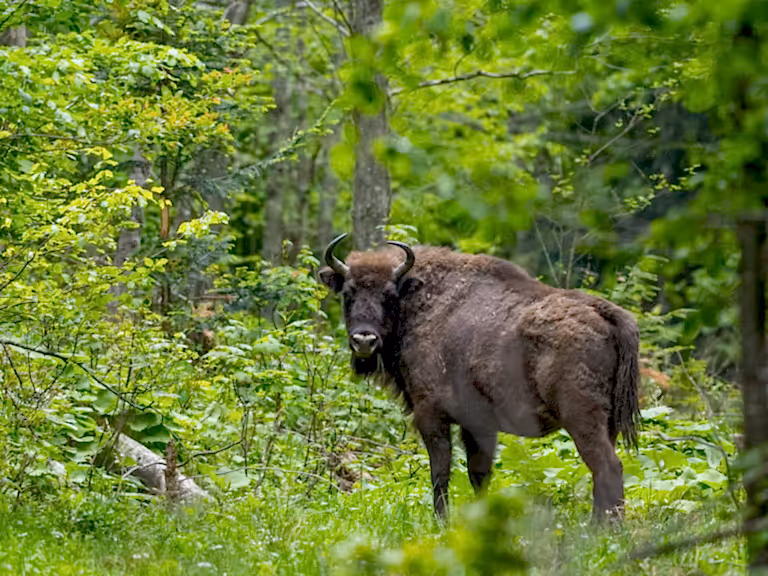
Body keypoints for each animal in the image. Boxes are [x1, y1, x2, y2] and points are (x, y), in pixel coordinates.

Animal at [319, 234, 640, 520]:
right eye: (348, 294)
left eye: (389, 295)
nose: (364, 340)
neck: (420, 301)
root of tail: (603, 311)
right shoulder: (477, 425)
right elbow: (479, 474)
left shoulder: (431, 414)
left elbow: (441, 471)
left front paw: (442, 521)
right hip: (607, 423)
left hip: (581, 418)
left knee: (608, 467)